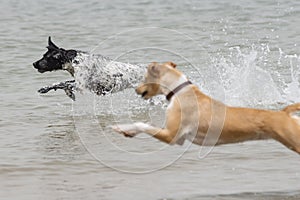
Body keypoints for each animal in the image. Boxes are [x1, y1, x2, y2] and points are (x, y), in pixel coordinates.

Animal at [110, 61, 300, 153]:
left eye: (143, 77)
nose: (136, 89)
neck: (179, 90)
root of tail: (284, 113)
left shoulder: (171, 135)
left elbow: (143, 124)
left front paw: (122, 128)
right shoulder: (179, 139)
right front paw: (124, 129)